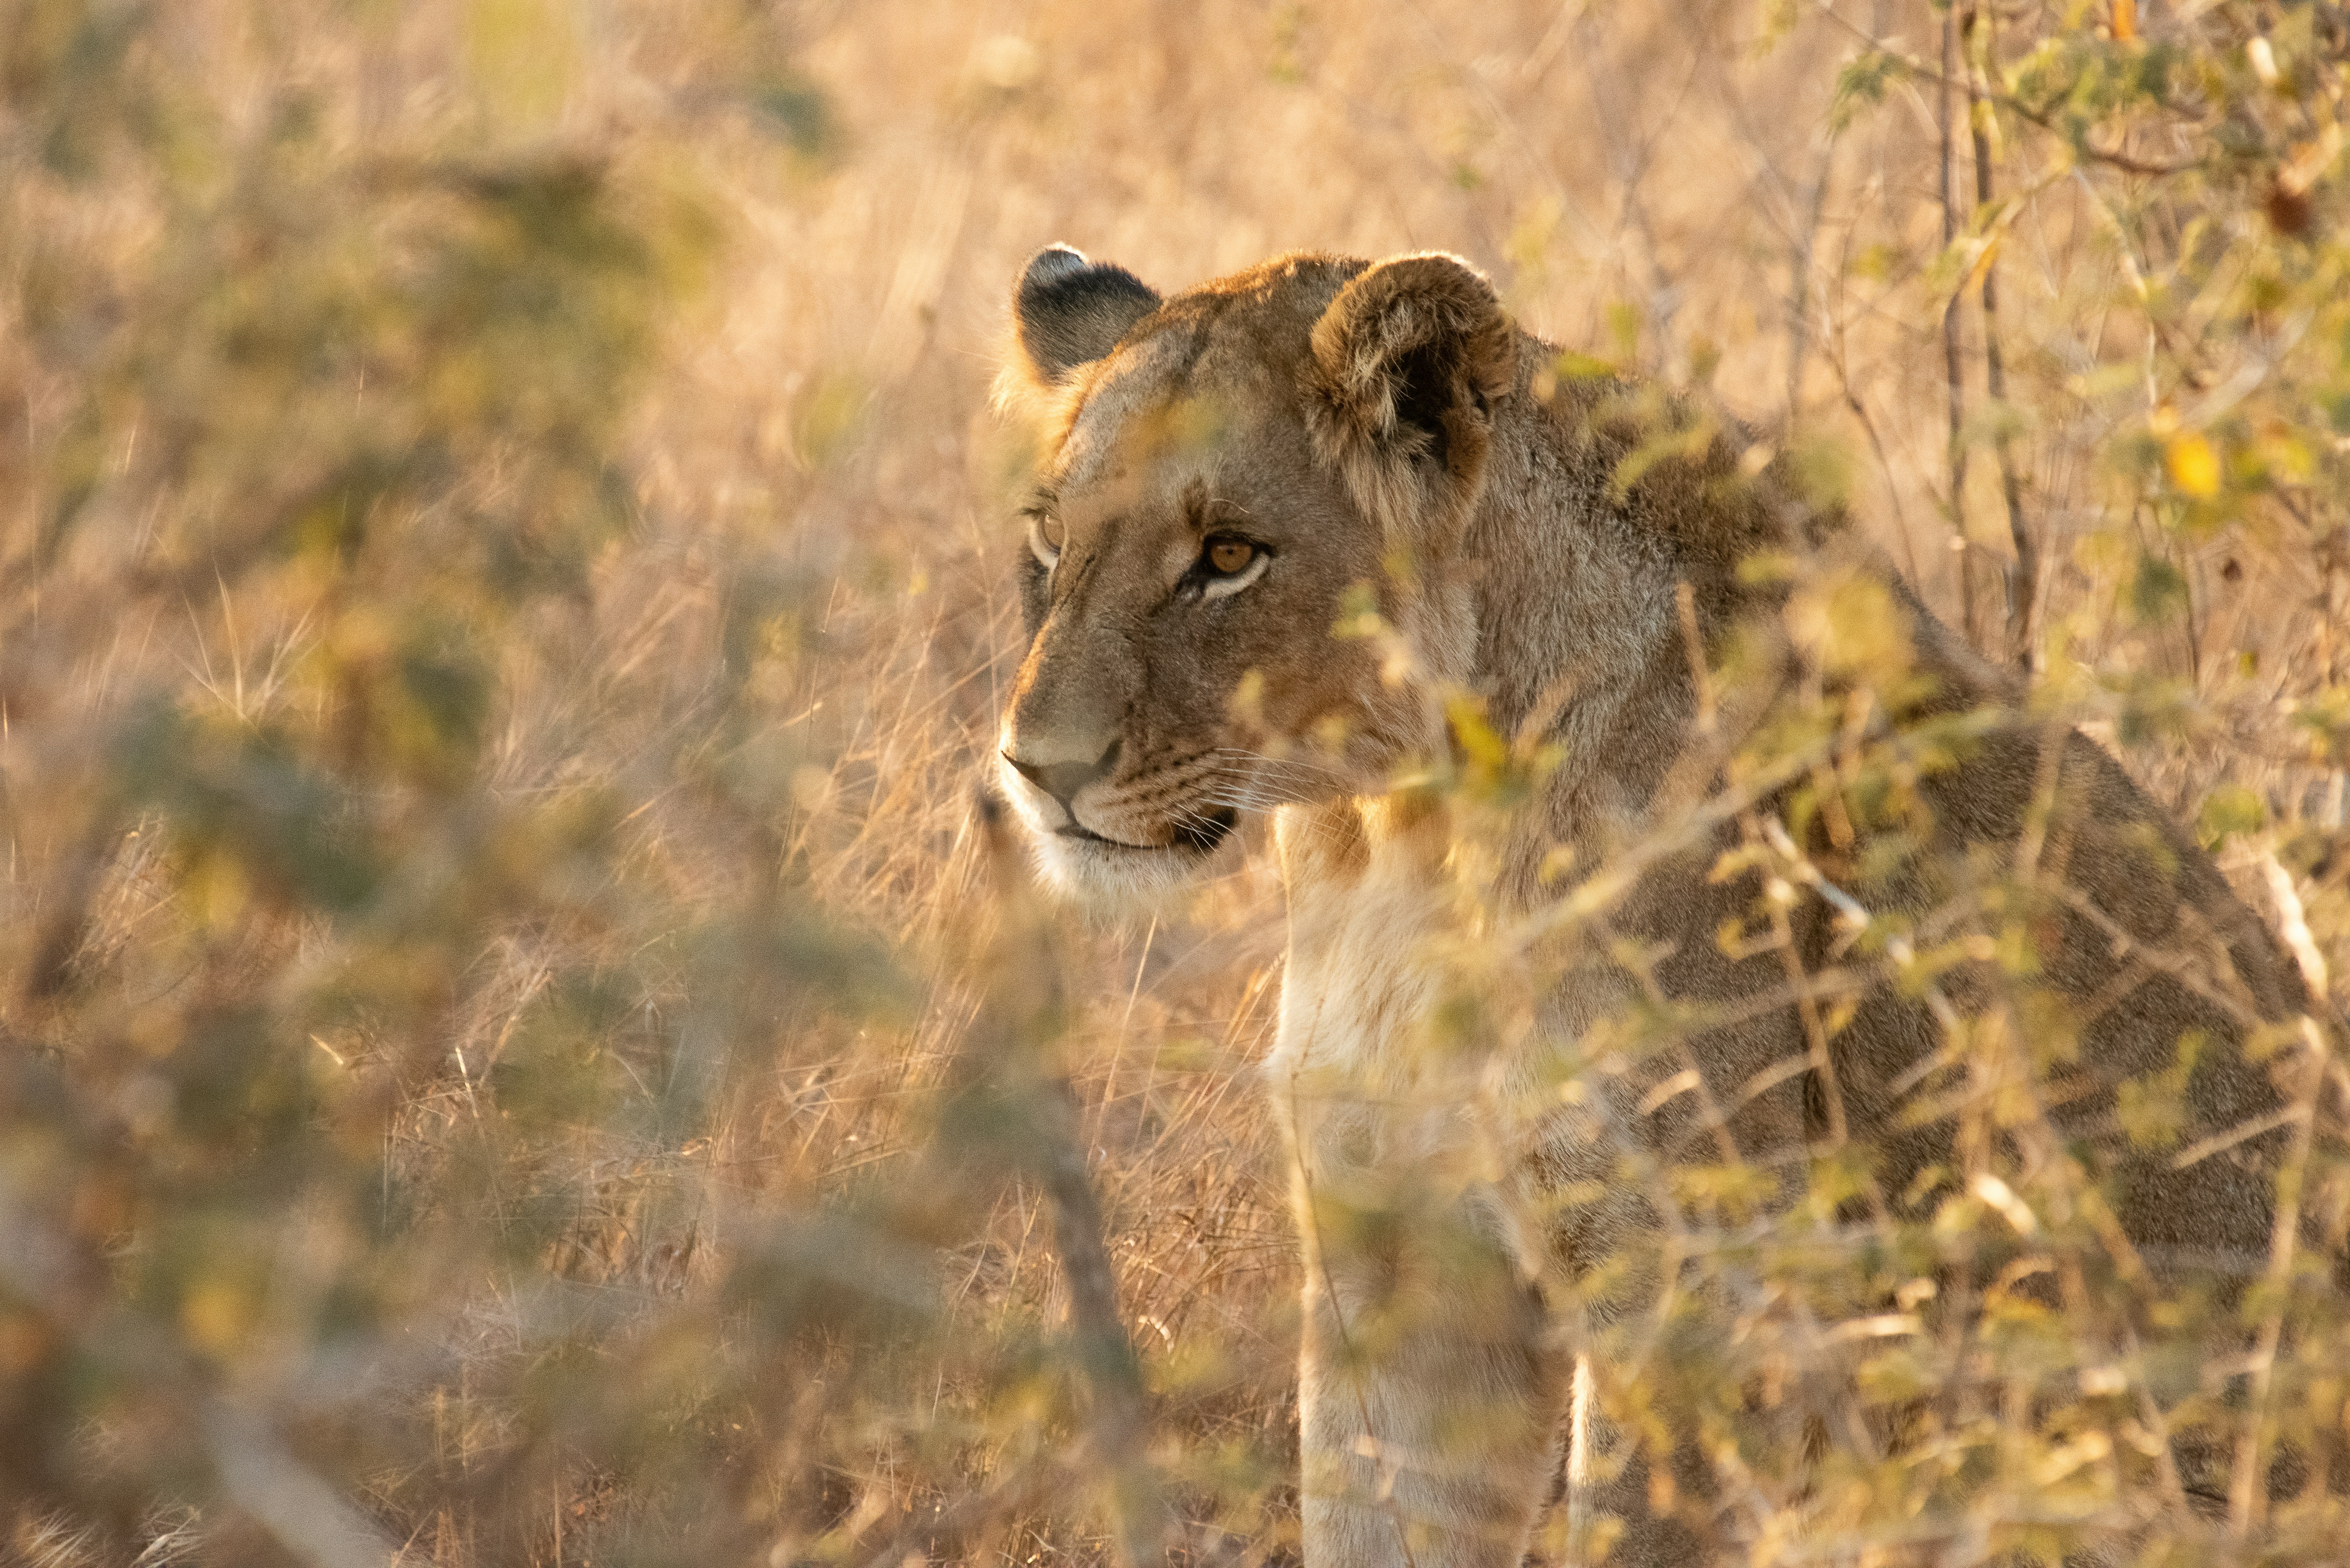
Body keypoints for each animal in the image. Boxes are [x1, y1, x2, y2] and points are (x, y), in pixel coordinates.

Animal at [989, 244, 2315, 1566]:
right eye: (1050, 538)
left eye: (1228, 557)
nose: (1034, 767)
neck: (1402, 846)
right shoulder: (1396, 1252)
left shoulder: (1699, 1284)